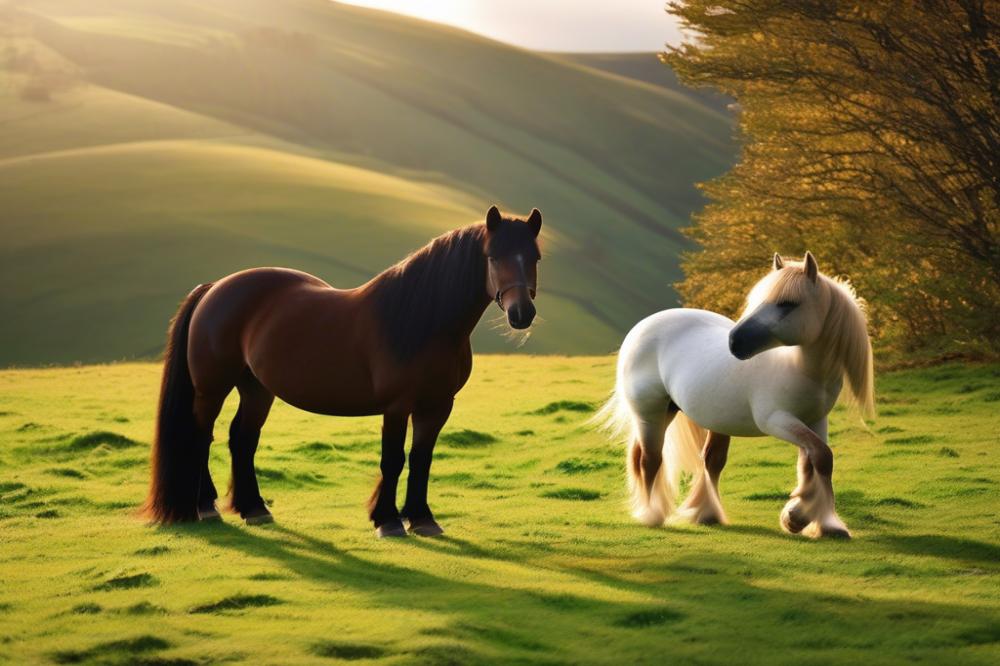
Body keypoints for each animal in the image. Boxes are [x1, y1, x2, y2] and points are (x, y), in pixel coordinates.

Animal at [143, 205, 540, 536]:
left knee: (242, 439)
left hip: (256, 388)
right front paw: (388, 521)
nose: (521, 314)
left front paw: (422, 518)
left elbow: (421, 459)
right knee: (201, 435)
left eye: (534, 257)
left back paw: (254, 509)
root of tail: (214, 288)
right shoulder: (397, 406)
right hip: (211, 388)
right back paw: (204, 505)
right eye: (493, 257)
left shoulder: (437, 406)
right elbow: (393, 460)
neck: (423, 322)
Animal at [596, 252, 872, 536]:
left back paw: (706, 514)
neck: (799, 368)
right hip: (650, 412)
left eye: (787, 304)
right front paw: (821, 520)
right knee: (650, 460)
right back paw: (652, 514)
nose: (734, 341)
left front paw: (799, 516)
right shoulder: (777, 421)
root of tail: (643, 325)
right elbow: (822, 456)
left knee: (710, 461)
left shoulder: (815, 421)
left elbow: (813, 460)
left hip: (689, 414)